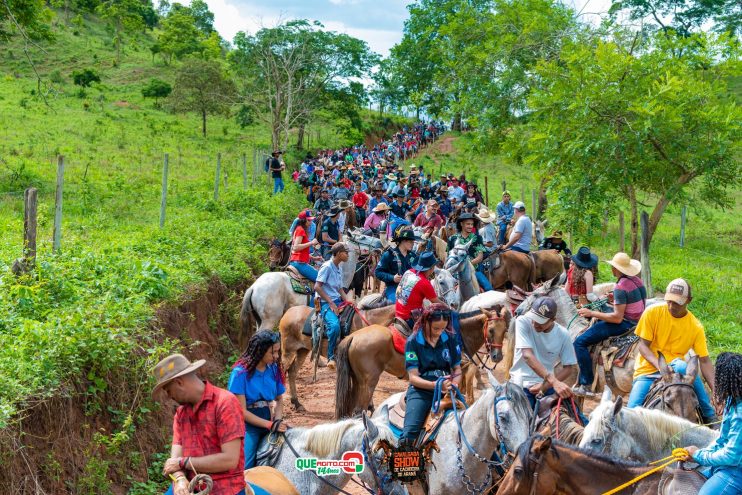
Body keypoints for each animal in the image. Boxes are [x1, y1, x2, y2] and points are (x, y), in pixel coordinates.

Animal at [338, 308, 512, 420]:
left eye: (504, 331)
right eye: (491, 330)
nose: (497, 356)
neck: (459, 336)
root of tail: (352, 337)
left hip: (356, 382)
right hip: (369, 383)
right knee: (358, 411)